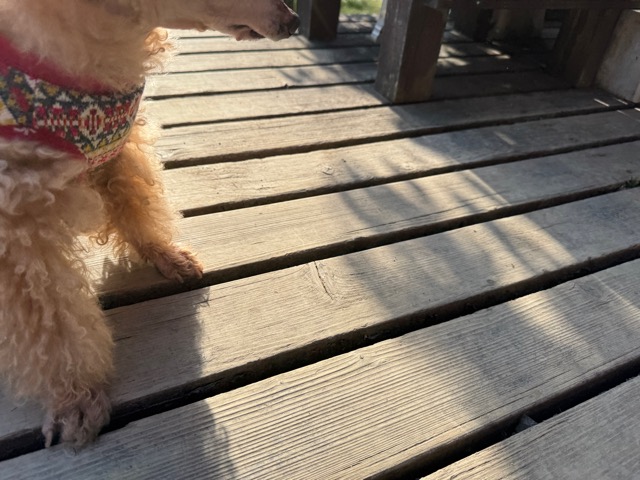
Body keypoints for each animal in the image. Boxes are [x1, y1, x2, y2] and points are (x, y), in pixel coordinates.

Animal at [0, 0, 299, 448]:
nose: (294, 21)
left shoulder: (117, 146)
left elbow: (138, 201)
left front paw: (167, 256)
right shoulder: (19, 221)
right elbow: (52, 317)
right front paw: (77, 396)